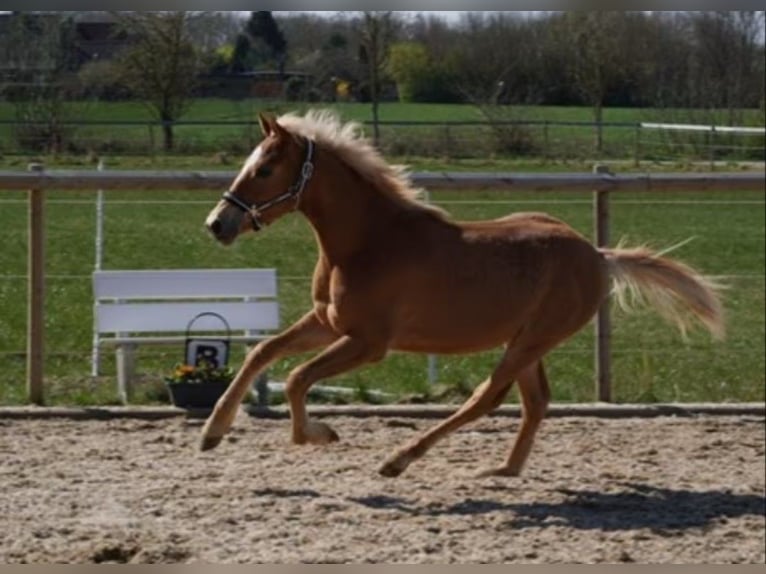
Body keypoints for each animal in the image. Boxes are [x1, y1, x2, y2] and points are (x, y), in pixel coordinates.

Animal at [200, 109, 723, 478]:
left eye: (265, 169)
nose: (217, 224)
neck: (369, 241)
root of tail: (597, 254)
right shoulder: (327, 323)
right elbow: (264, 352)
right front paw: (212, 433)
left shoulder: (368, 343)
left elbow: (295, 378)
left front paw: (318, 434)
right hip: (526, 341)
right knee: (535, 401)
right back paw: (504, 470)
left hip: (531, 340)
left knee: (486, 396)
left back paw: (399, 460)